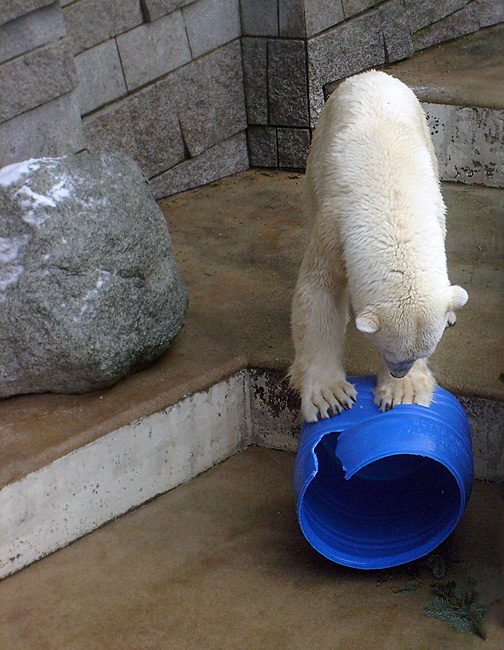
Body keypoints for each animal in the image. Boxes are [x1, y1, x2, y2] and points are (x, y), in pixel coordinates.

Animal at [292, 69, 468, 420]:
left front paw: (403, 391)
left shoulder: (435, 209)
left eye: (424, 350)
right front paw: (330, 396)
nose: (399, 372)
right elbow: (318, 291)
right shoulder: (334, 223)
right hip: (317, 154)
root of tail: (371, 74)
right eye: (386, 348)